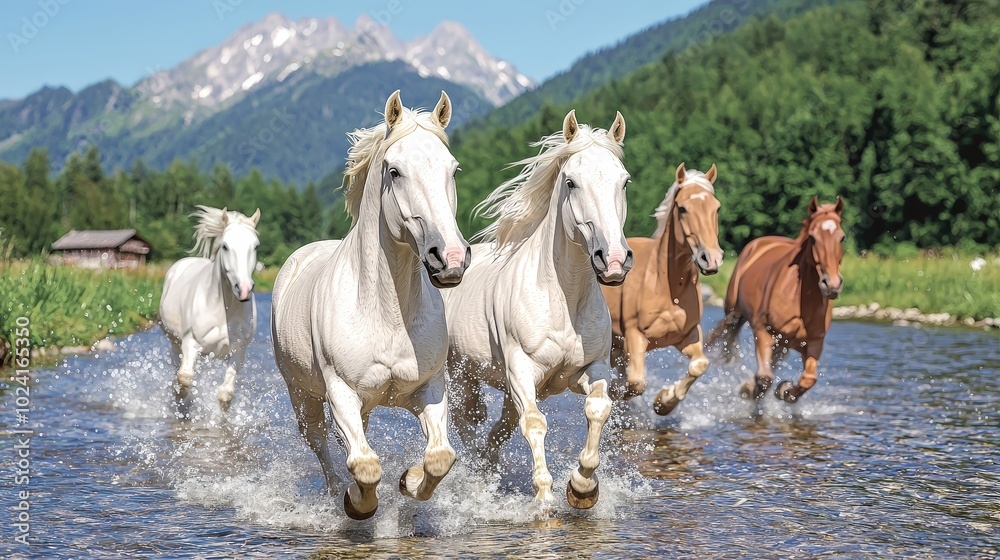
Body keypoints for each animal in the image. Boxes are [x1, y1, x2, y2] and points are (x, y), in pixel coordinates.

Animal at [159, 205, 261, 409]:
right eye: (225, 246)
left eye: (255, 246)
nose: (244, 289)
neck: (224, 310)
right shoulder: (190, 343)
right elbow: (184, 379)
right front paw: (185, 404)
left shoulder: (239, 350)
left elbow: (225, 393)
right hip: (175, 344)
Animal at [270, 90, 470, 520]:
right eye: (394, 172)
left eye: (454, 169)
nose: (450, 258)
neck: (388, 314)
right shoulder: (342, 393)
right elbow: (364, 464)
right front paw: (356, 504)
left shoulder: (429, 388)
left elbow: (440, 457)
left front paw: (408, 481)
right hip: (303, 395)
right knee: (321, 444)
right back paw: (336, 492)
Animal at [443, 109, 632, 510]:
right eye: (572, 183)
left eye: (624, 181)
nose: (613, 261)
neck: (563, 300)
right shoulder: (521, 371)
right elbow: (534, 423)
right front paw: (544, 496)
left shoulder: (588, 369)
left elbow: (598, 409)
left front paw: (581, 487)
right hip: (463, 377)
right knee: (469, 424)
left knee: (496, 432)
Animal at [601, 162, 723, 416]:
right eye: (683, 208)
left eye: (716, 208)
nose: (711, 259)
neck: (669, 287)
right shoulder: (635, 336)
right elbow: (636, 383)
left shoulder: (688, 335)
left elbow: (699, 365)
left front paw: (664, 401)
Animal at [707, 196, 845, 403]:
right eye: (813, 237)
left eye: (842, 237)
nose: (832, 285)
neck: (799, 301)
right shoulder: (763, 331)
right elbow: (764, 379)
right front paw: (750, 389)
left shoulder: (814, 343)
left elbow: (808, 379)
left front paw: (785, 391)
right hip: (734, 313)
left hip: (783, 343)